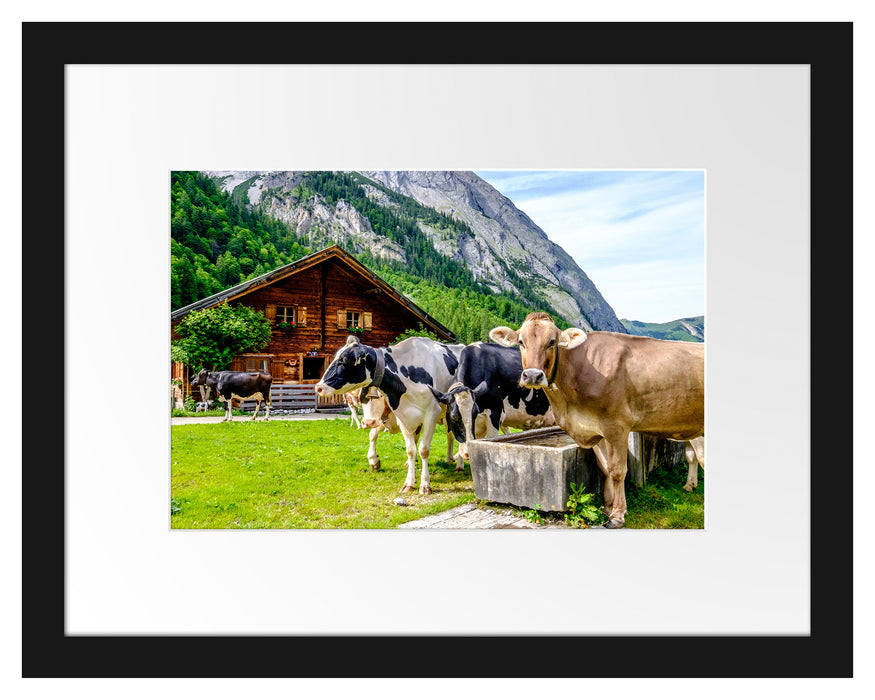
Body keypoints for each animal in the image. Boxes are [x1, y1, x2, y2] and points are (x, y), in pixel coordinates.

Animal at [314, 335, 464, 495]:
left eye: (344, 360)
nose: (318, 387)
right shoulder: (403, 417)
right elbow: (410, 450)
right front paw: (409, 482)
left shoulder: (431, 413)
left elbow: (423, 450)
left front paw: (425, 485)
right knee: (450, 436)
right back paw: (449, 458)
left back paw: (459, 464)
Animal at [490, 312, 704, 528]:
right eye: (521, 342)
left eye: (552, 342)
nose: (533, 375)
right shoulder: (595, 430)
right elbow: (605, 469)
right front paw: (608, 507)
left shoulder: (617, 427)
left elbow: (618, 471)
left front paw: (617, 515)